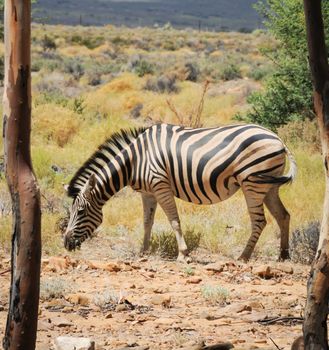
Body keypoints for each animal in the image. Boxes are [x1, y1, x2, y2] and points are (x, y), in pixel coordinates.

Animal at [62, 121, 296, 262]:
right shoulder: (147, 192)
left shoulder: (160, 185)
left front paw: (183, 254)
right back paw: (283, 255)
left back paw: (243, 257)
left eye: (80, 212)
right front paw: (144, 252)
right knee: (283, 215)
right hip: (270, 186)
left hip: (253, 183)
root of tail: (278, 138)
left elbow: (174, 220)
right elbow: (147, 222)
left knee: (260, 221)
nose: (65, 244)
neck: (135, 160)